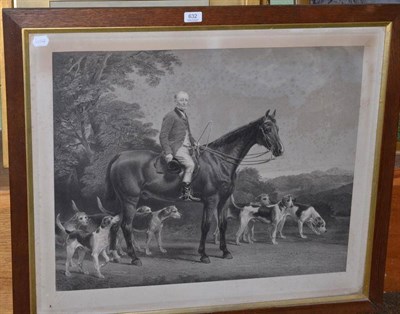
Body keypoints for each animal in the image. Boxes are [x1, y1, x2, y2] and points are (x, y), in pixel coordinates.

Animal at [104, 110, 282, 264]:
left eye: (277, 128)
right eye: (267, 128)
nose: (279, 150)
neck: (218, 162)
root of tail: (120, 156)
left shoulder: (223, 201)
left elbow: (222, 226)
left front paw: (225, 252)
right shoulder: (211, 200)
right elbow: (206, 226)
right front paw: (203, 255)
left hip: (122, 201)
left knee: (116, 227)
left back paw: (115, 255)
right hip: (130, 200)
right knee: (126, 226)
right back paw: (134, 258)